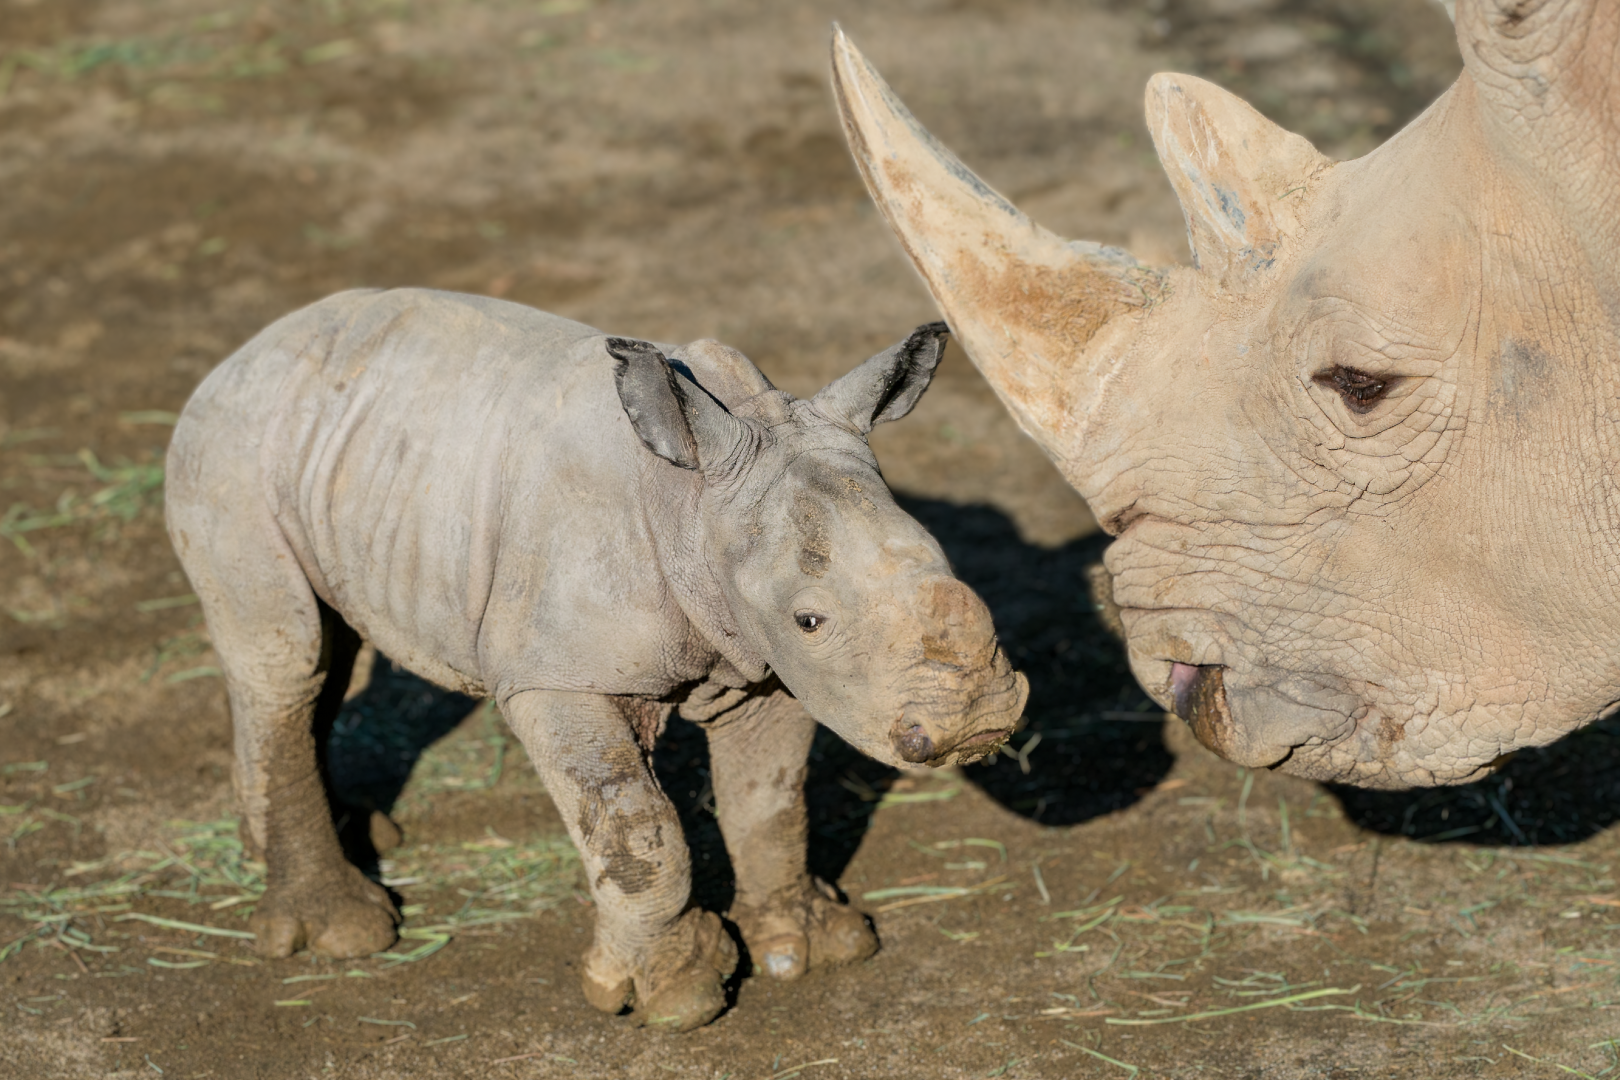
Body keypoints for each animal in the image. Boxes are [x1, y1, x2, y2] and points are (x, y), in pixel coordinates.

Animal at [164, 288, 1028, 1030]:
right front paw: (670, 995)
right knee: (291, 655)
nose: (978, 722)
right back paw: (348, 934)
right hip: (233, 453)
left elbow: (771, 800)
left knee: (322, 655)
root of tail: (236, 358)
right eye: (810, 619)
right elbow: (638, 832)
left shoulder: (764, 664)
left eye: (952, 567)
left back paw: (317, 839)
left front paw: (807, 950)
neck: (693, 506)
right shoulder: (559, 676)